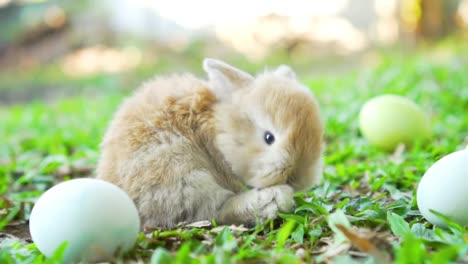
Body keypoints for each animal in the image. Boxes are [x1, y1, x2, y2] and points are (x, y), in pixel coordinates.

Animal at [97, 58, 324, 228]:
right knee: (214, 211)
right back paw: (274, 200)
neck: (219, 130)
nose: (296, 179)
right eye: (269, 138)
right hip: (178, 172)